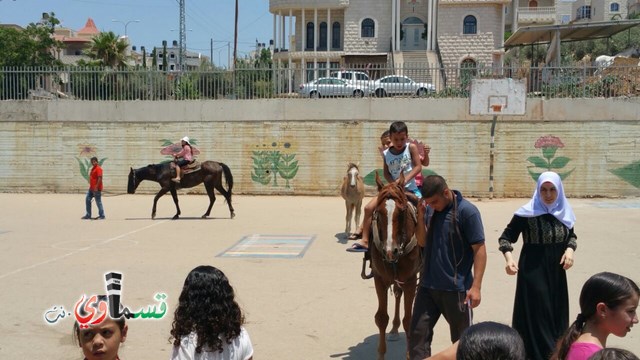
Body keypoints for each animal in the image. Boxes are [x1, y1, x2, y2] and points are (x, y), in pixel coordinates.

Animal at [368, 172, 422, 360]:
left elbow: (409, 320)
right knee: (398, 294)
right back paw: (393, 329)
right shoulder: (379, 279)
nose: (391, 250)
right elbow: (381, 318)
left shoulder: (411, 280)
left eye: (402, 211)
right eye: (378, 212)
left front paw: (409, 354)